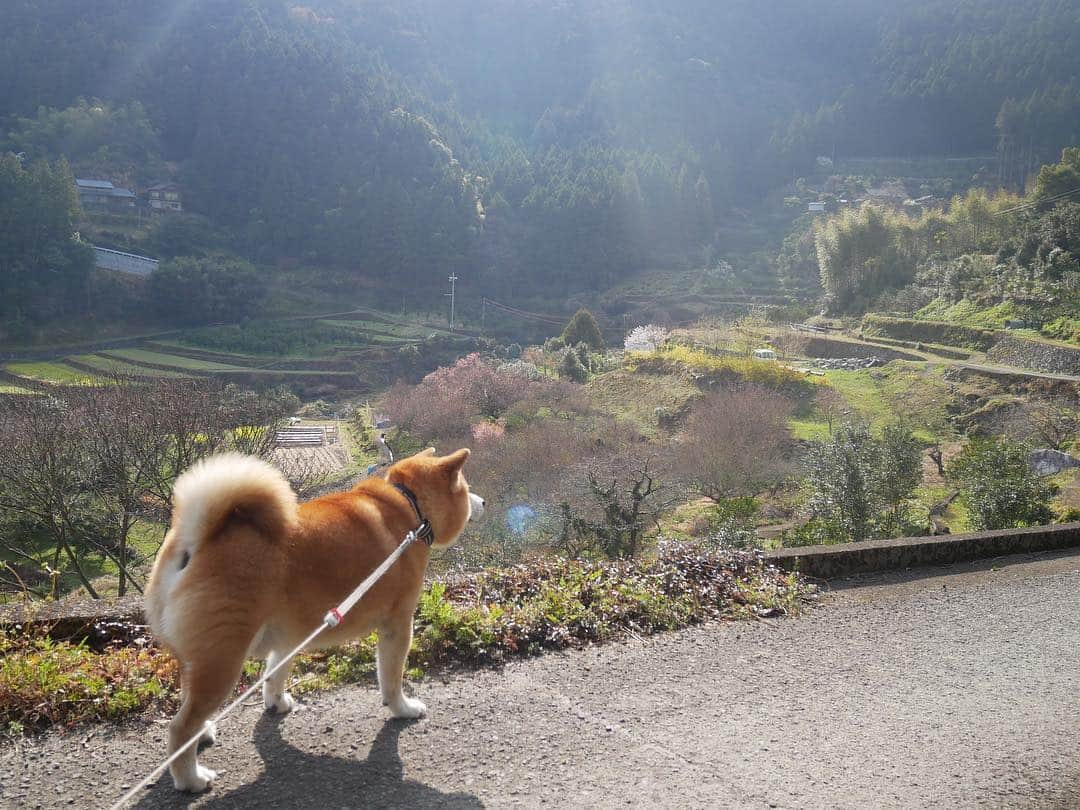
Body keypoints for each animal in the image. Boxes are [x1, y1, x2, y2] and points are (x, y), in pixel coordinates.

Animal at [145, 447, 483, 790]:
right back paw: (191, 777)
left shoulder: (288, 635)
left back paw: (203, 734)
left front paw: (276, 703)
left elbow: (275, 674)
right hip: (221, 661)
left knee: (188, 702)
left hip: (197, 659)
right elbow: (391, 679)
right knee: (179, 727)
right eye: (467, 490)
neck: (408, 505)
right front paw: (402, 708)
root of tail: (194, 542)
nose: (482, 502)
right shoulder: (397, 625)